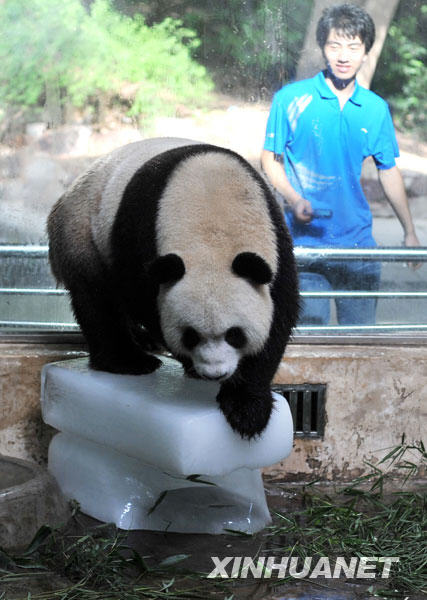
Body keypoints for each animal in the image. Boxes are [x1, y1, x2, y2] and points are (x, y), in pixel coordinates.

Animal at [47, 138, 300, 438]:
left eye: (235, 335)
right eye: (190, 335)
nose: (214, 374)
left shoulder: (275, 239)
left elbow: (279, 315)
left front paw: (247, 407)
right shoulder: (140, 235)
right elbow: (143, 300)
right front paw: (191, 364)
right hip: (82, 233)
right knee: (98, 300)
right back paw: (129, 360)